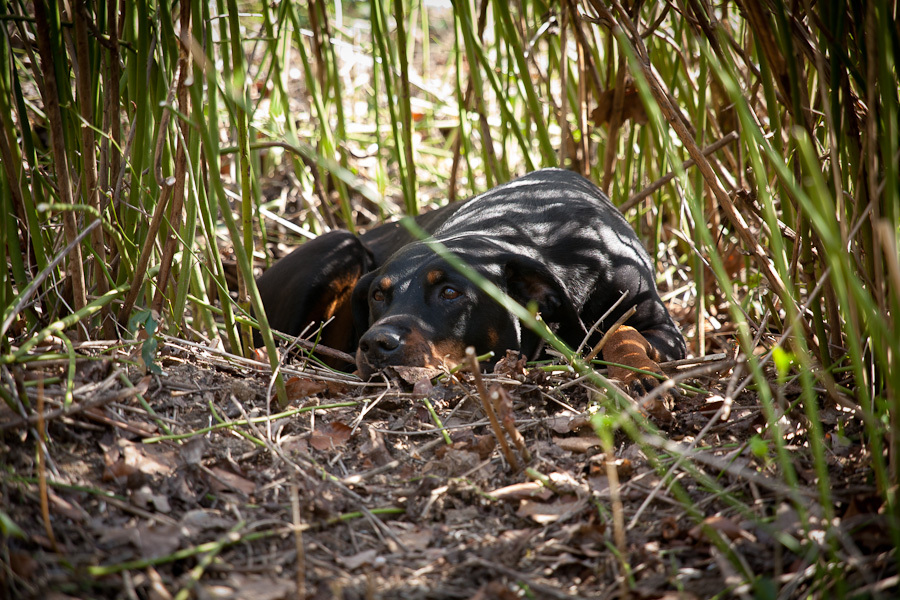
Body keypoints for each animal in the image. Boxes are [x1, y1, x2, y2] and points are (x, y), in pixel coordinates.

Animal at [256, 169, 684, 394]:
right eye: (378, 295)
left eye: (450, 292)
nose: (376, 343)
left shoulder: (664, 327)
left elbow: (623, 331)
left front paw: (635, 371)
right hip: (338, 244)